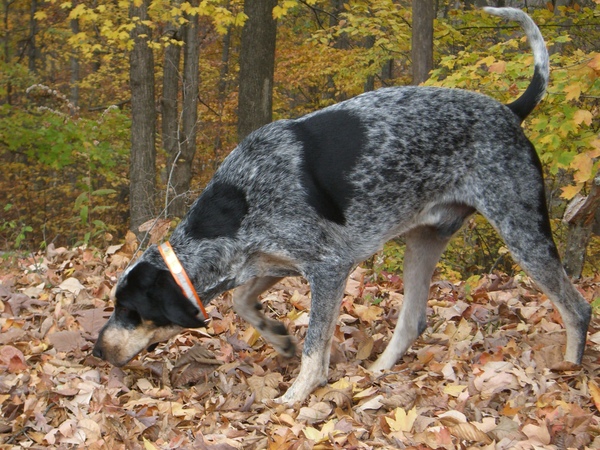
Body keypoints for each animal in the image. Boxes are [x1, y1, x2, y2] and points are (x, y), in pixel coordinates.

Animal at [94, 7, 592, 404]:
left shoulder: (329, 267)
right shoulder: (274, 263)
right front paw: (278, 338)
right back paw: (377, 375)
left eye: (130, 311)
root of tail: (510, 110)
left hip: (521, 230)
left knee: (577, 309)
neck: (238, 208)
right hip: (423, 241)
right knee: (412, 321)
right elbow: (241, 300)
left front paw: (295, 396)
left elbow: (315, 348)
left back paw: (567, 372)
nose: (97, 350)